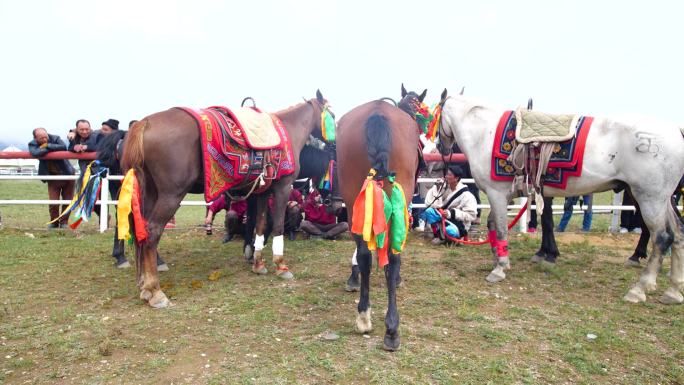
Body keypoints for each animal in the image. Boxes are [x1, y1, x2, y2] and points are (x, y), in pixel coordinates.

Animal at [122, 89, 332, 306]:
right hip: (171, 195)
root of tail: (144, 123)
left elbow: (261, 225)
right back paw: (155, 291)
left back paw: (145, 286)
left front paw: (258, 264)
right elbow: (278, 226)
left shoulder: (263, 192)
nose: (334, 143)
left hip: (149, 193)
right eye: (331, 115)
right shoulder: (282, 187)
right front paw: (281, 266)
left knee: (140, 229)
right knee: (152, 231)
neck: (288, 131)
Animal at [334, 85, 424, 350]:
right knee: (393, 256)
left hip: (352, 195)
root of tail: (377, 114)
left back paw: (364, 316)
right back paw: (391, 328)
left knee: (364, 253)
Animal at [438, 92, 684, 304]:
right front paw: (501, 260)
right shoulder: (505, 195)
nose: (441, 147)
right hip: (661, 200)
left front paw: (499, 269)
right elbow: (495, 226)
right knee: (678, 234)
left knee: (662, 237)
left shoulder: (497, 193)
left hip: (649, 198)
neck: (484, 133)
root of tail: (676, 131)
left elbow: (500, 229)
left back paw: (640, 288)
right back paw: (673, 291)